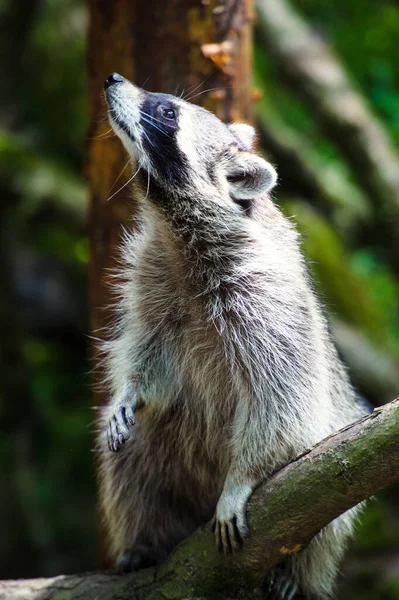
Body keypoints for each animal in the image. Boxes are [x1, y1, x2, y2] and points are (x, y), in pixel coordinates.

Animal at [97, 72, 368, 596]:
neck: (175, 230)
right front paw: (129, 390)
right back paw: (143, 542)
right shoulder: (153, 277)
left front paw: (243, 479)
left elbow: (281, 400)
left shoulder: (267, 299)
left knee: (329, 520)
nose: (114, 78)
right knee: (131, 464)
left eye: (167, 112)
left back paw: (294, 571)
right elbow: (148, 352)